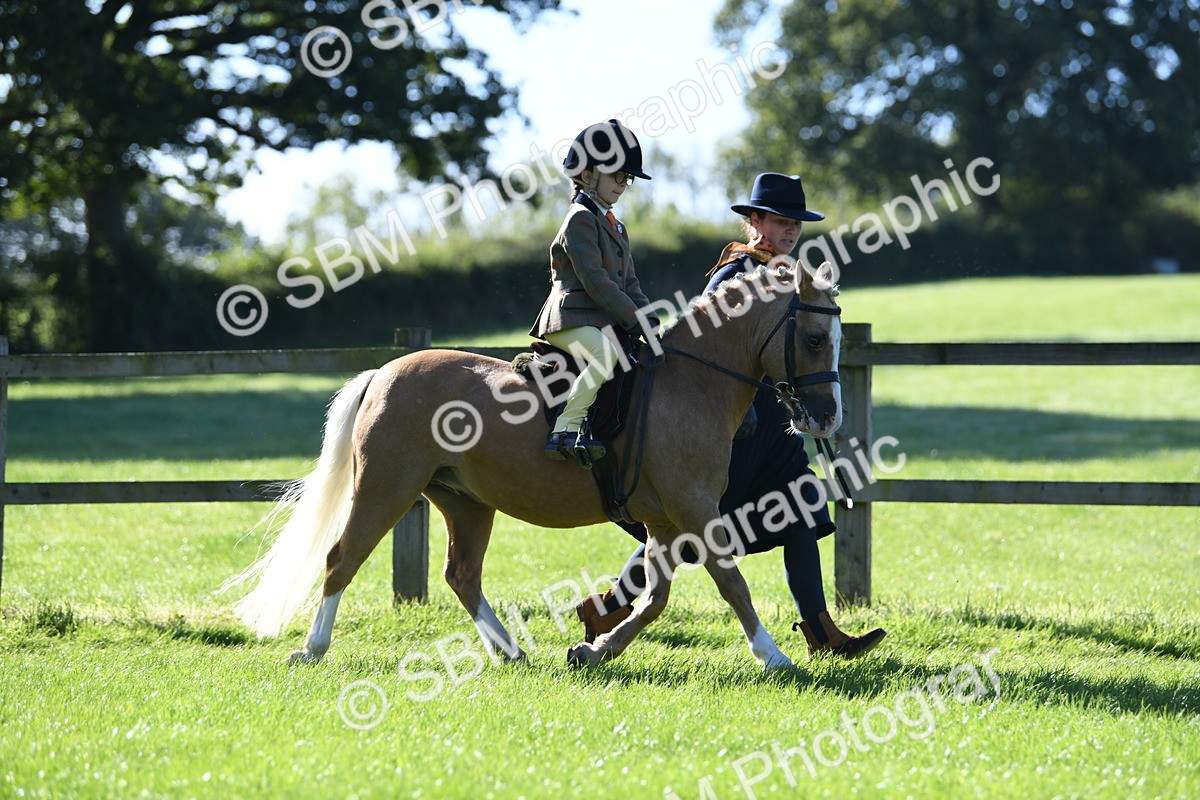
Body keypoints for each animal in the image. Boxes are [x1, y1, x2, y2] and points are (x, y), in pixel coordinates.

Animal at [223, 262, 843, 670]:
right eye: (814, 339)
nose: (827, 418)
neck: (691, 382)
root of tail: (386, 372)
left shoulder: (668, 521)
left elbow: (655, 598)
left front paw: (595, 649)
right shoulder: (694, 511)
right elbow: (731, 583)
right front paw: (775, 656)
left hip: (465, 502)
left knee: (462, 576)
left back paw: (510, 651)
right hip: (385, 488)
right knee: (342, 559)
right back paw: (312, 649)